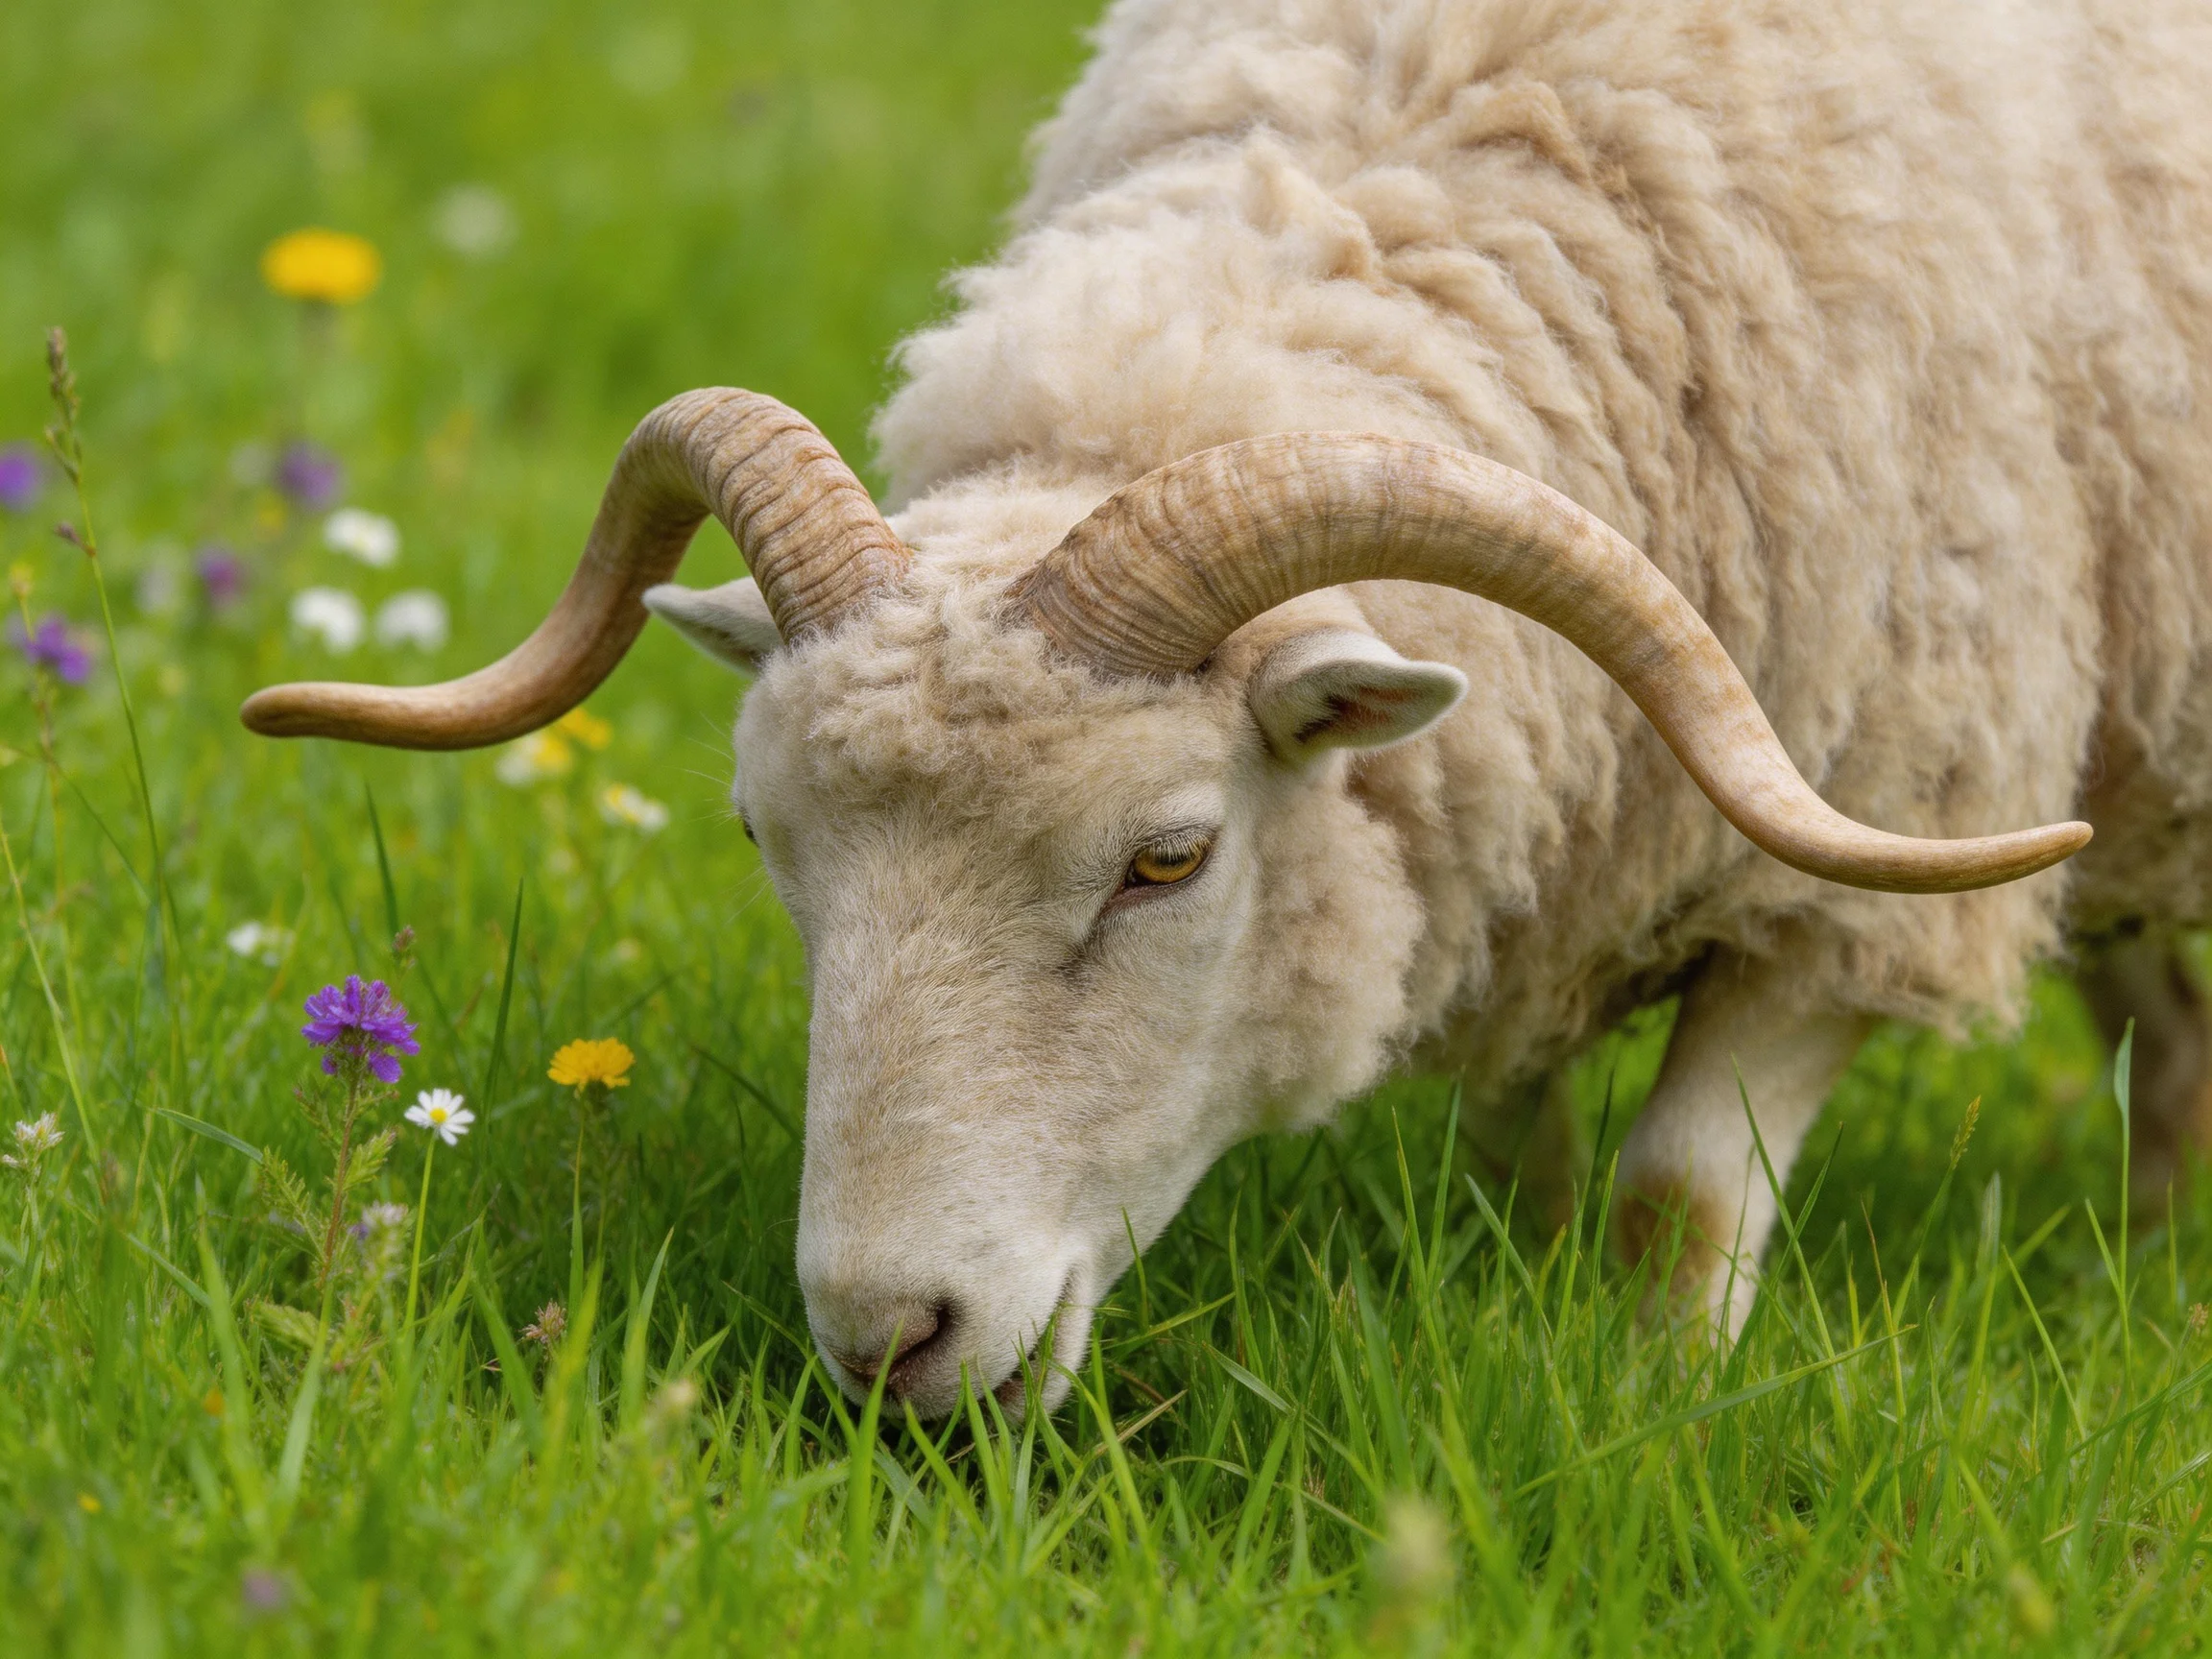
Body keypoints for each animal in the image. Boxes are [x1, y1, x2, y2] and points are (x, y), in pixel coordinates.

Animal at [243, 0, 2212, 1413]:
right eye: (761, 840)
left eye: (1168, 860)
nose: (886, 1340)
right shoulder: (1525, 853)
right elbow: (1521, 1157)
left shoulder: (1865, 862)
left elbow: (1677, 1203)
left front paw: (1652, 1412)